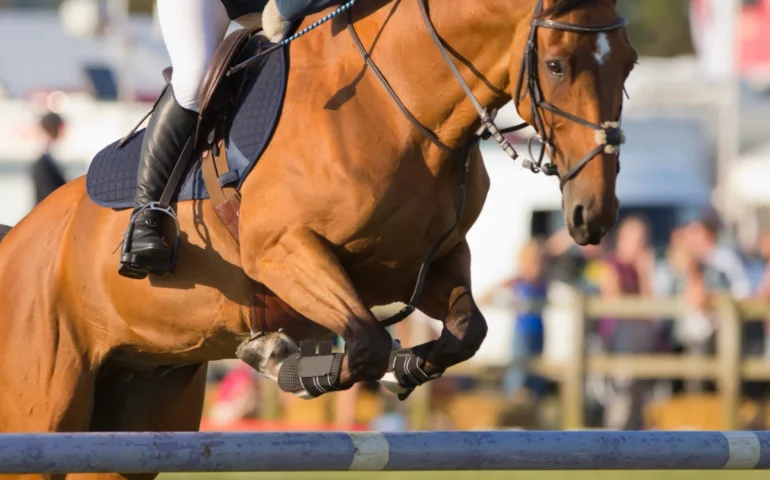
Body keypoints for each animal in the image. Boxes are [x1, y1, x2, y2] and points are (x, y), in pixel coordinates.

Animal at [0, 0, 635, 477]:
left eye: (628, 66)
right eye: (557, 66)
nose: (594, 215)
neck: (399, 107)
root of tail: (16, 241)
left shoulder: (423, 263)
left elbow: (464, 331)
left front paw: (404, 369)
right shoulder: (286, 254)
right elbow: (366, 342)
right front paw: (283, 360)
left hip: (140, 409)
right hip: (45, 411)